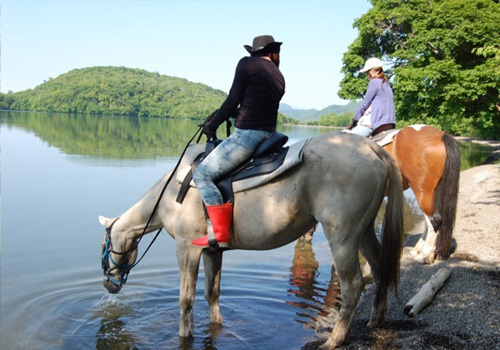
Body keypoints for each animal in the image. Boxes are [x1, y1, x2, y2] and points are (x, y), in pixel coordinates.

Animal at [382, 124, 460, 264]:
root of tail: (442, 136)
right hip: (433, 193)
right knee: (429, 221)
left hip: (422, 192)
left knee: (434, 220)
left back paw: (425, 255)